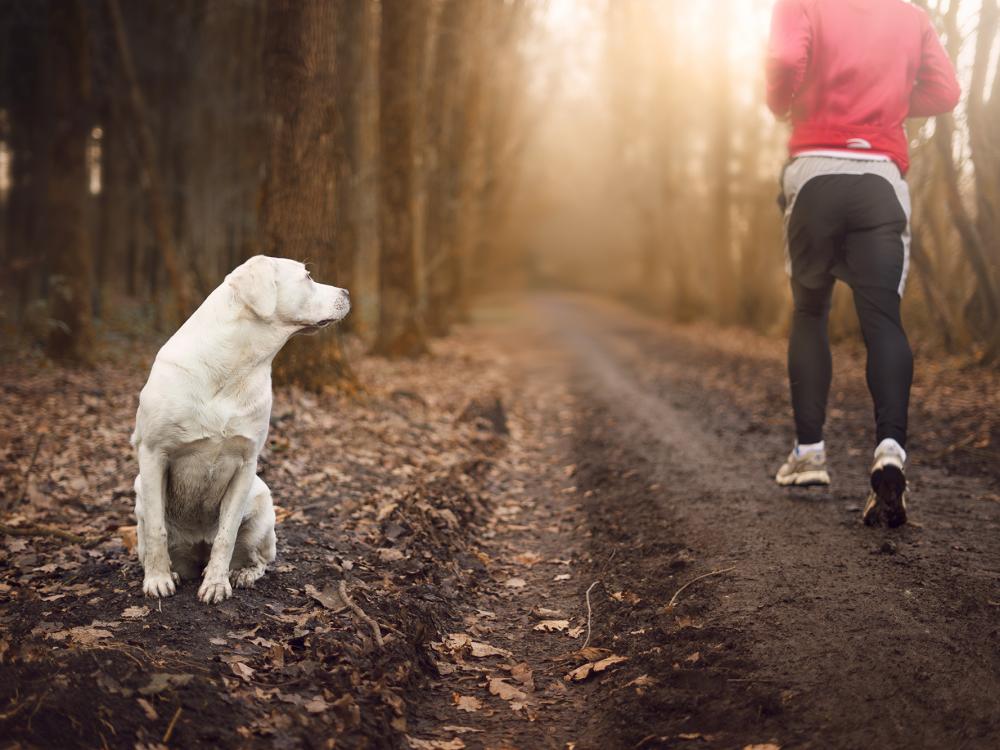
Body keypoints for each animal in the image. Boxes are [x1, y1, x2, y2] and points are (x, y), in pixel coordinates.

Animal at [131, 258, 352, 604]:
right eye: (308, 276)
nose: (347, 292)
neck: (233, 365)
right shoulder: (153, 454)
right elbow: (157, 529)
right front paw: (157, 580)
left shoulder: (246, 465)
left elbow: (227, 533)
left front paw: (217, 584)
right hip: (140, 492)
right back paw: (172, 572)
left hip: (263, 508)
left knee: (260, 558)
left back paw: (242, 573)